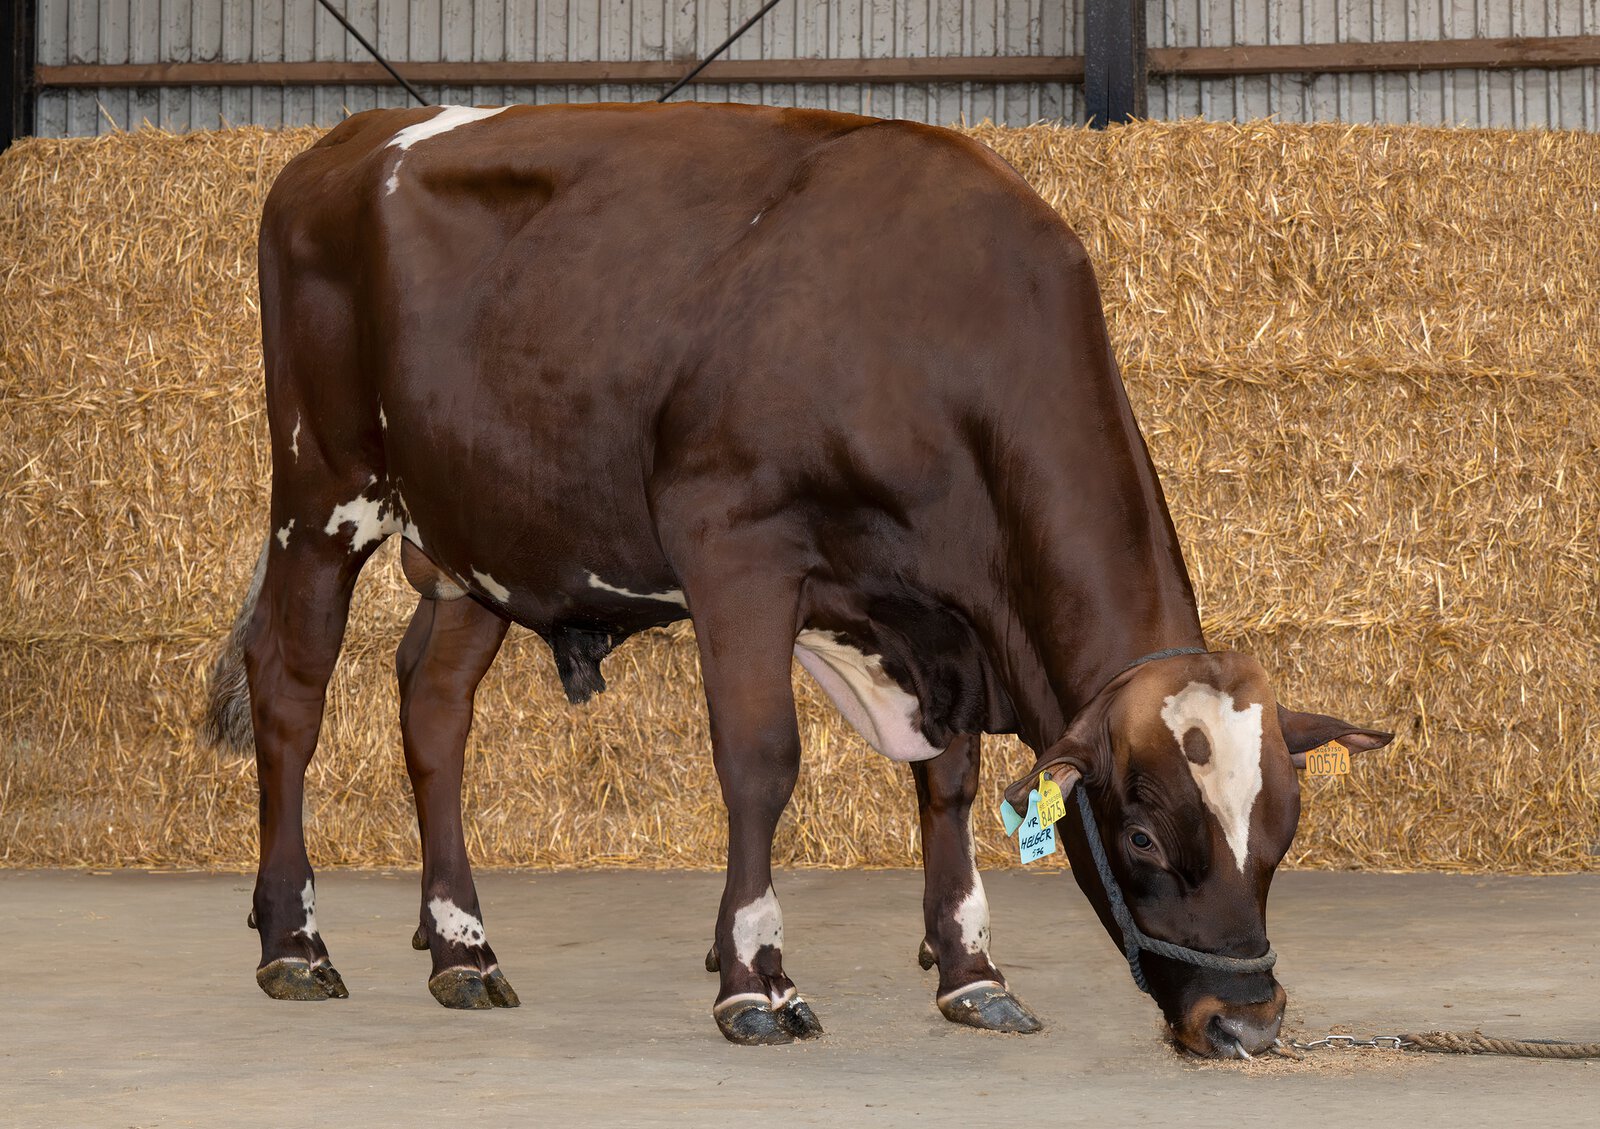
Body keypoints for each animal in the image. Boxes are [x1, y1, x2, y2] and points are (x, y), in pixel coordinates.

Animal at [202, 101, 1393, 1057]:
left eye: (1283, 832)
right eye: (1142, 834)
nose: (1246, 1023)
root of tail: (348, 140)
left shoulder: (935, 619)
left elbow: (948, 783)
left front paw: (973, 971)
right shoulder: (738, 542)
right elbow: (762, 761)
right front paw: (756, 979)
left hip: (474, 536)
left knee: (434, 705)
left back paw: (463, 948)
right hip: (323, 488)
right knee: (292, 689)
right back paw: (294, 940)